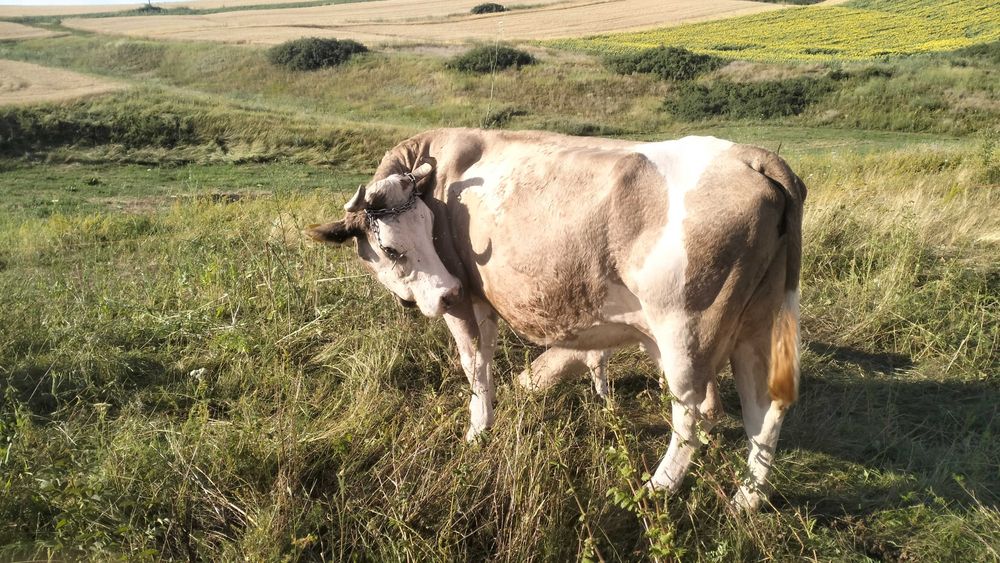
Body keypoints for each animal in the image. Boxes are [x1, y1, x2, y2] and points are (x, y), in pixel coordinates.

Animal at [307, 128, 805, 510]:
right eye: (393, 247)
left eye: (427, 232)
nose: (446, 291)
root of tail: (751, 156)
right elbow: (524, 356)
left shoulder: (467, 300)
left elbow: (475, 364)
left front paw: (477, 430)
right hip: (758, 323)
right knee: (766, 411)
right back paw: (747, 500)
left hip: (687, 331)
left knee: (693, 412)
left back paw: (659, 486)